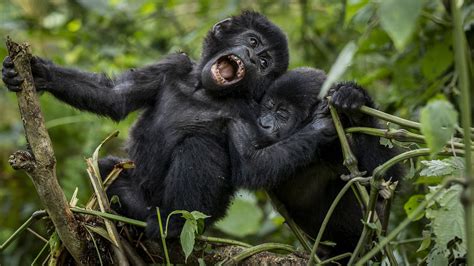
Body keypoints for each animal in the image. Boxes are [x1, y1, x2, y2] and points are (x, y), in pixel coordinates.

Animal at [3, 11, 292, 238]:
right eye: (252, 41)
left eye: (264, 62)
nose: (252, 57)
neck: (202, 90)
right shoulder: (173, 65)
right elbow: (115, 96)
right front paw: (40, 73)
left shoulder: (249, 112)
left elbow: (256, 166)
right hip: (137, 200)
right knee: (106, 168)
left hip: (198, 219)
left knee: (199, 146)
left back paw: (173, 225)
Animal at [229, 68, 400, 258]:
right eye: (268, 106)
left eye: (282, 114)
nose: (263, 124)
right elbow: (250, 165)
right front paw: (320, 126)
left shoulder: (338, 143)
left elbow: (384, 181)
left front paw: (355, 103)